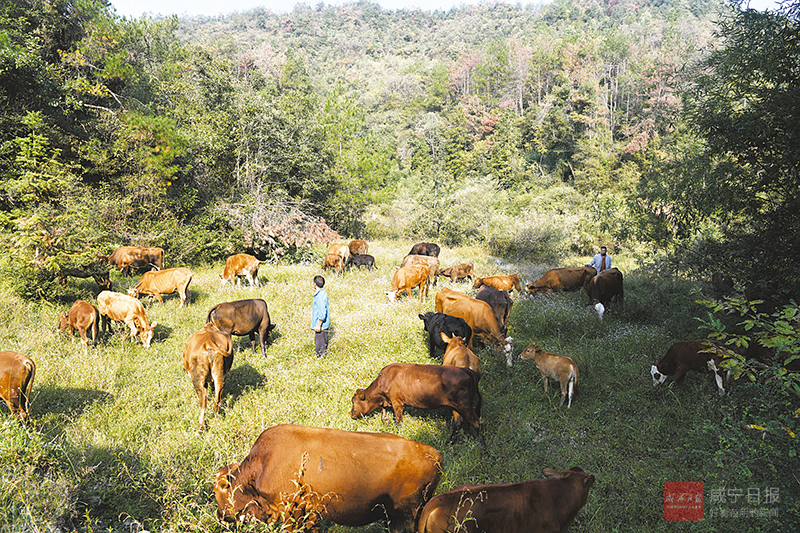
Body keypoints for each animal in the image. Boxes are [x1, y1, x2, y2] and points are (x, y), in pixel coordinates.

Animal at [212, 422, 444, 528]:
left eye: (219, 491)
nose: (221, 516)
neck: (263, 463)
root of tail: (434, 454)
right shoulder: (311, 511)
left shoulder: (289, 510)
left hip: (406, 516)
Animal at [352, 362, 482, 440]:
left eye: (353, 402)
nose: (351, 414)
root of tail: (466, 370)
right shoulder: (387, 400)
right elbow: (384, 415)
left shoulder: (397, 401)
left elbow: (398, 421)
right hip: (456, 406)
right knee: (459, 422)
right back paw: (450, 442)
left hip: (464, 405)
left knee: (476, 423)